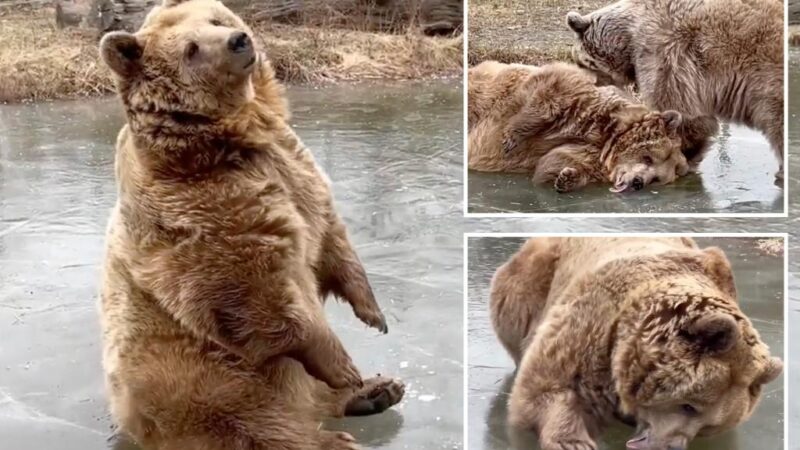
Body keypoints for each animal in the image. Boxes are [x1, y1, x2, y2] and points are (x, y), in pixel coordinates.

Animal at [97, 0, 404, 450]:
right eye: (191, 49)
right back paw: (337, 431)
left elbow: (329, 236)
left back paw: (377, 390)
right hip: (196, 372)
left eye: (216, 19)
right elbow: (257, 292)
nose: (239, 41)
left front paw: (374, 314)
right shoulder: (199, 209)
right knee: (252, 418)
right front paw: (343, 365)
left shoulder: (295, 170)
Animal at [468, 60, 712, 192]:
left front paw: (567, 178)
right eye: (648, 158)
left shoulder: (585, 153)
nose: (637, 182)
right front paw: (510, 137)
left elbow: (551, 165)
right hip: (482, 88)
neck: (606, 137)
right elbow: (551, 92)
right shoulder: (584, 104)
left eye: (656, 179)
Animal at [490, 237, 784, 450]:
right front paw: (573, 442)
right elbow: (542, 387)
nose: (673, 446)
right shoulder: (592, 325)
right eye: (689, 406)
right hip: (528, 285)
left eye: (709, 426)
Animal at [564, 0, 784, 179]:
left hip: (768, 77)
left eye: (580, 62)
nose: (593, 86)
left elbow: (680, 110)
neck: (629, 37)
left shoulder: (665, 53)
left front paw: (683, 156)